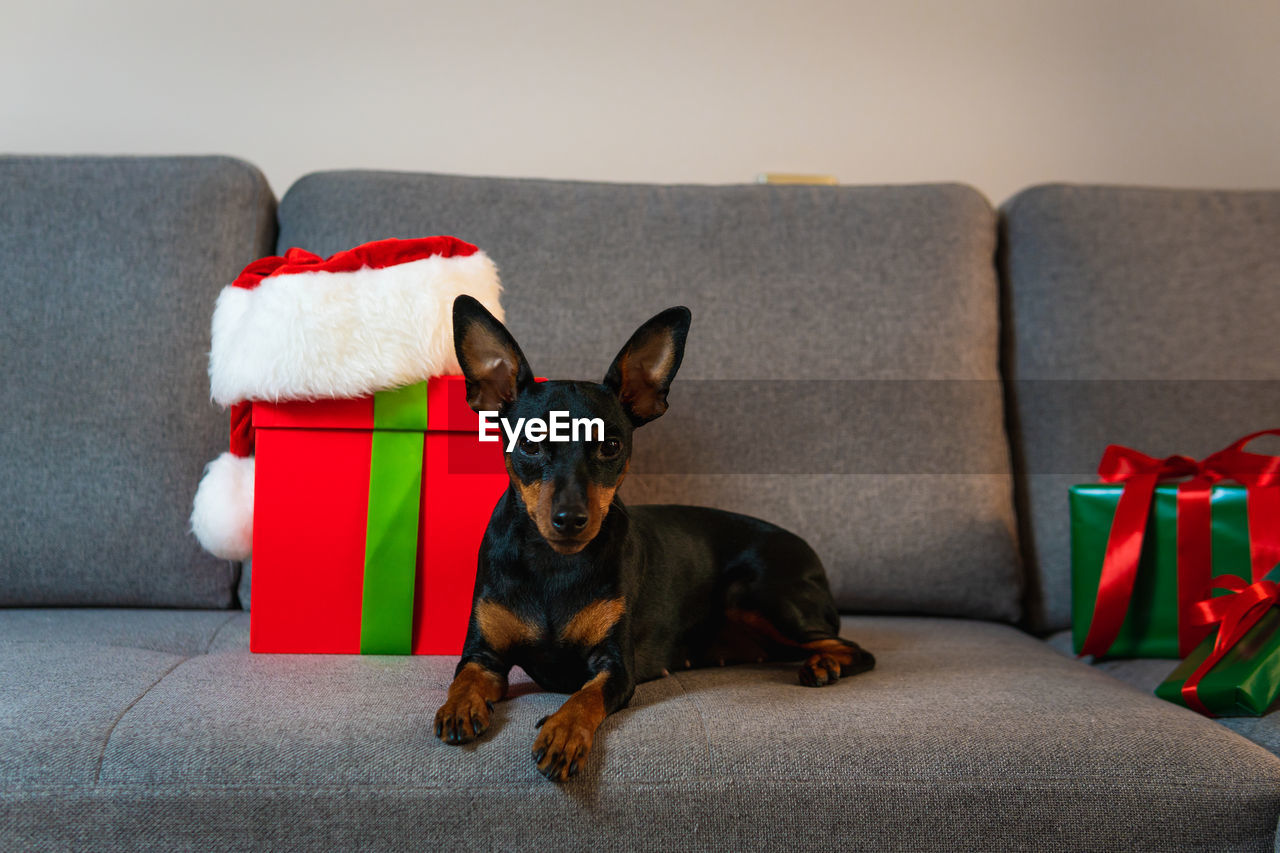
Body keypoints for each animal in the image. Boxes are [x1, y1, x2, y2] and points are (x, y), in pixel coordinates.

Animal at [435, 295, 875, 778]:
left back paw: (824, 665)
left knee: (855, 649)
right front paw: (459, 706)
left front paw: (563, 732)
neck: (554, 564)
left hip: (756, 594)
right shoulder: (484, 656)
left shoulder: (616, 668)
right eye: (529, 444)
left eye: (610, 447)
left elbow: (584, 697)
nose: (570, 518)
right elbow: (464, 679)